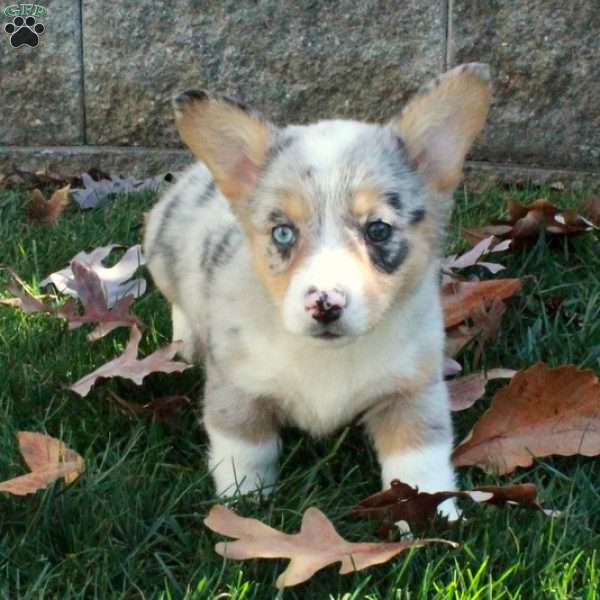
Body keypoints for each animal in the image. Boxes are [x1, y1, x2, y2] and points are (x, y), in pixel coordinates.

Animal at [143, 63, 490, 516]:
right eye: (283, 232)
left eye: (378, 230)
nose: (325, 304)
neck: (328, 357)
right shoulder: (237, 388)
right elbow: (245, 451)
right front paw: (243, 504)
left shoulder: (413, 389)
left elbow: (419, 461)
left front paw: (433, 516)